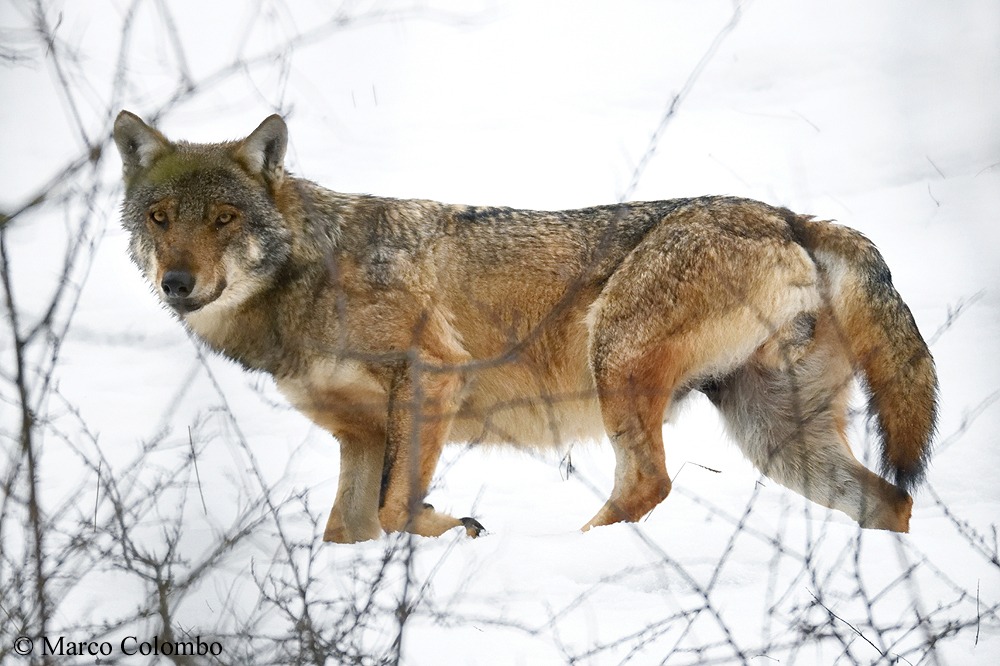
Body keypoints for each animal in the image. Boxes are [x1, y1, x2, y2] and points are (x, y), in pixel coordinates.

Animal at [113, 111, 938, 542]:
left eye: (224, 219)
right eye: (162, 218)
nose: (177, 282)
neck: (308, 279)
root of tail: (791, 216)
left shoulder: (432, 378)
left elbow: (395, 507)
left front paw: (455, 532)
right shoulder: (360, 437)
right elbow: (350, 528)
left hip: (617, 360)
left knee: (649, 484)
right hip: (777, 441)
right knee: (892, 503)